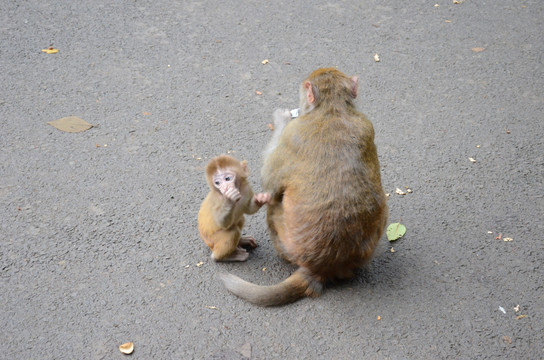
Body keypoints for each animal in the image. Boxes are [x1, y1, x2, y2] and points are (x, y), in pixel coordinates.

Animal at [219, 68, 388, 306]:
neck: (332, 109)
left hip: (285, 239)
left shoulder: (293, 133)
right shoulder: (366, 124)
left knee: (273, 204)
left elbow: (268, 183)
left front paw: (281, 118)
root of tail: (323, 269)